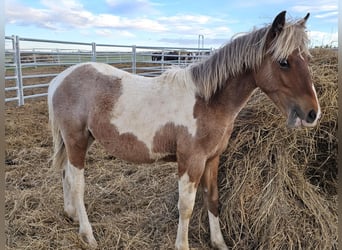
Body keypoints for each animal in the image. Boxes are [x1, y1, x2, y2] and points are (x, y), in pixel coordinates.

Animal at [48, 10, 320, 249]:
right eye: (283, 62)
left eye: (307, 59)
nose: (312, 113)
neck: (207, 102)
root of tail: (59, 80)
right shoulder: (191, 161)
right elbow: (186, 206)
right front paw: (183, 245)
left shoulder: (212, 159)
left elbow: (212, 198)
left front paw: (219, 242)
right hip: (76, 140)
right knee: (77, 183)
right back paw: (87, 234)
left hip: (82, 140)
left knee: (65, 173)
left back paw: (71, 214)